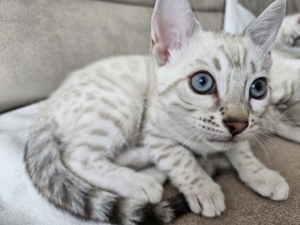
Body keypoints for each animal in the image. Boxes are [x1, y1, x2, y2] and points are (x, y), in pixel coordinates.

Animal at [25, 0, 288, 225]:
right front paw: (204, 188)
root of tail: (47, 106)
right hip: (124, 99)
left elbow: (241, 150)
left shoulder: (242, 133)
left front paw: (262, 175)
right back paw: (142, 181)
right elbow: (180, 159)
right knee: (77, 155)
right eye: (202, 82)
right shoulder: (154, 131)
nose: (237, 124)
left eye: (258, 88)